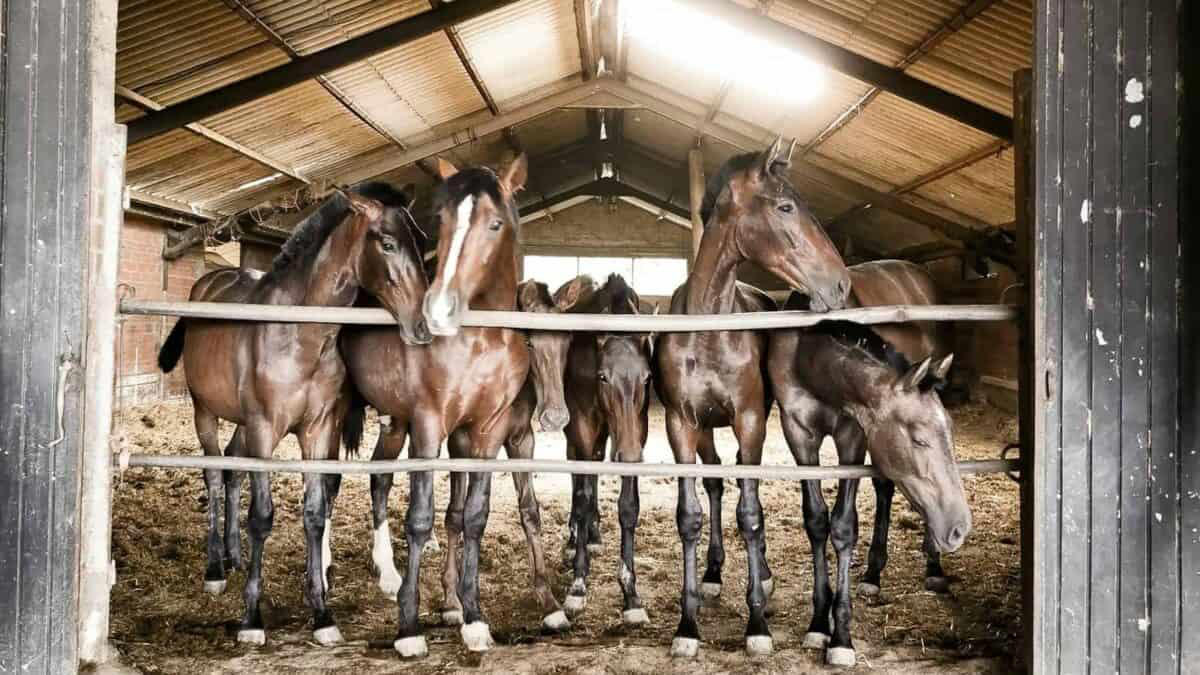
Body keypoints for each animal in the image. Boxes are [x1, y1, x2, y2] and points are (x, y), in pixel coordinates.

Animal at [155, 182, 431, 646]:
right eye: (388, 243)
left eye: (421, 242)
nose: (423, 326)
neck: (298, 333)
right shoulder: (266, 429)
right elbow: (262, 516)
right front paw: (251, 620)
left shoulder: (317, 430)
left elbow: (315, 513)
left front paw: (322, 613)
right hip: (205, 412)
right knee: (213, 473)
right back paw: (215, 569)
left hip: (243, 426)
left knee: (231, 466)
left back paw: (232, 554)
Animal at [340, 155, 530, 657]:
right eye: (440, 220)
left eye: (495, 223)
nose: (438, 311)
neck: (481, 341)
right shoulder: (429, 426)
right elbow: (420, 519)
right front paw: (408, 626)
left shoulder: (485, 431)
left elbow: (472, 517)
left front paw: (472, 616)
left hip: (394, 424)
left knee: (379, 479)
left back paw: (386, 573)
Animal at [558, 274, 655, 627]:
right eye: (603, 377)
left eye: (647, 378)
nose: (629, 455)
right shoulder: (583, 426)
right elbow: (583, 499)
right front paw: (577, 586)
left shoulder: (636, 432)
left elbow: (628, 506)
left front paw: (631, 595)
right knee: (577, 477)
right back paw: (577, 537)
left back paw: (594, 535)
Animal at [654, 138, 852, 658]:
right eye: (785, 207)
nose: (841, 284)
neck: (708, 331)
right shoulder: (681, 424)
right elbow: (689, 516)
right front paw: (687, 626)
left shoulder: (750, 421)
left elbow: (752, 517)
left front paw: (757, 624)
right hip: (706, 429)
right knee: (716, 485)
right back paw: (715, 574)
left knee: (747, 494)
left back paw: (760, 577)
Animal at [767, 286, 968, 667]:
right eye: (919, 438)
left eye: (950, 431)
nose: (960, 527)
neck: (808, 357)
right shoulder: (799, 436)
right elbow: (817, 522)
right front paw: (819, 623)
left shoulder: (853, 436)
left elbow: (844, 526)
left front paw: (842, 638)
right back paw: (874, 574)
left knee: (886, 488)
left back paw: (932, 566)